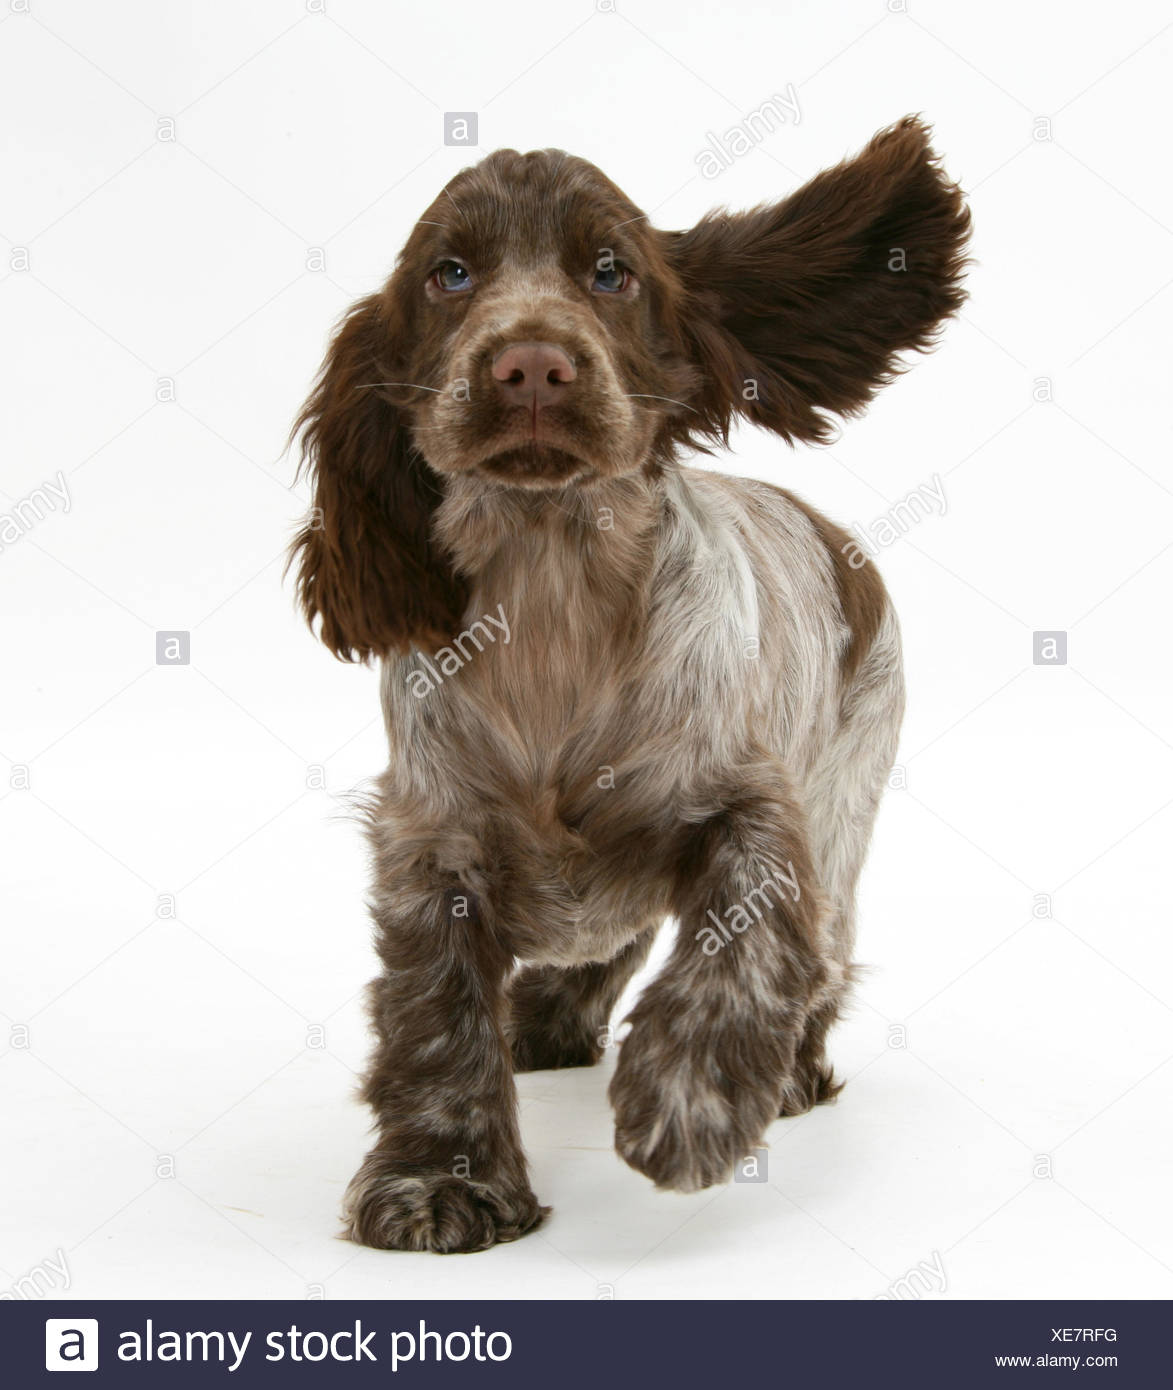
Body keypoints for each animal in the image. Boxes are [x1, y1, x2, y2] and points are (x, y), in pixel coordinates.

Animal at [289, 113, 967, 1256]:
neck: (552, 595)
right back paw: (551, 1017)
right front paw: (439, 1178)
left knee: (819, 951)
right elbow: (435, 1014)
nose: (530, 364)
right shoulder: (431, 841)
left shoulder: (752, 803)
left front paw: (689, 1103)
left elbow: (745, 944)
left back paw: (792, 1070)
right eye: (449, 273)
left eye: (610, 271)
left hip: (847, 795)